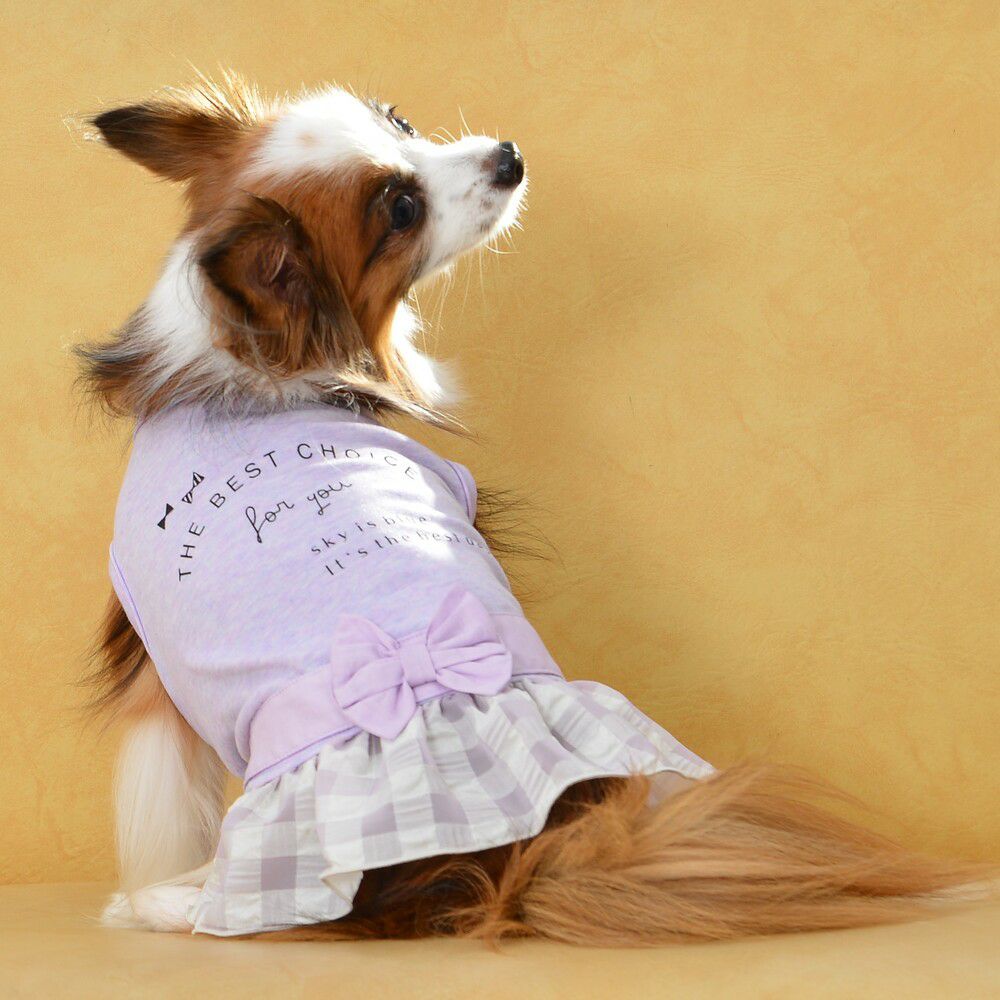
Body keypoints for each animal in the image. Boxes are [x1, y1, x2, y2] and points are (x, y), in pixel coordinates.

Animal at [78, 75, 980, 943]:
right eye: (401, 211)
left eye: (400, 120)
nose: (508, 155)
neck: (247, 368)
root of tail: (527, 849)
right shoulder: (156, 675)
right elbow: (169, 805)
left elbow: (163, 811)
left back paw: (154, 902)